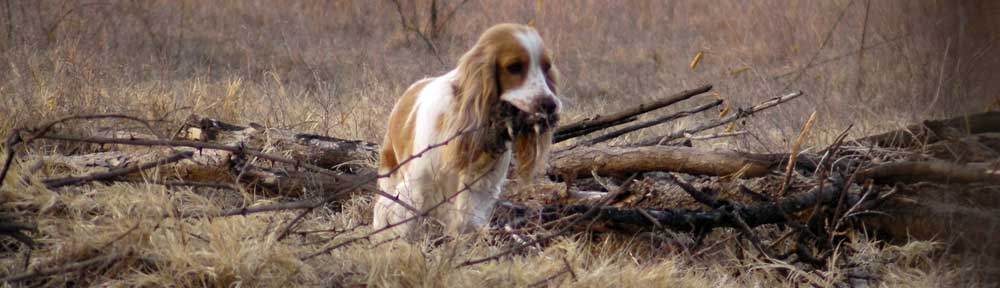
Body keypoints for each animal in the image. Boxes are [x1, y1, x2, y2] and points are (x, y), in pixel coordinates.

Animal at [376, 23, 560, 237]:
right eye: (514, 67)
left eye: (547, 67)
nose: (550, 105)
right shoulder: (415, 186)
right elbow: (405, 227)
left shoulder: (479, 188)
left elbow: (466, 223)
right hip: (390, 176)